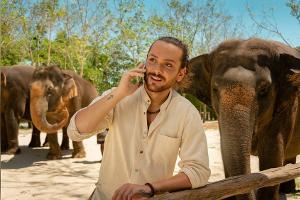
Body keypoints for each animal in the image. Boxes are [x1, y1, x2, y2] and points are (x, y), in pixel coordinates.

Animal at [188, 38, 300, 199]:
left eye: (264, 90)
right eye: (214, 89)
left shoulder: (286, 105)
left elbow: (272, 153)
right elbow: (225, 151)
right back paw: (287, 190)